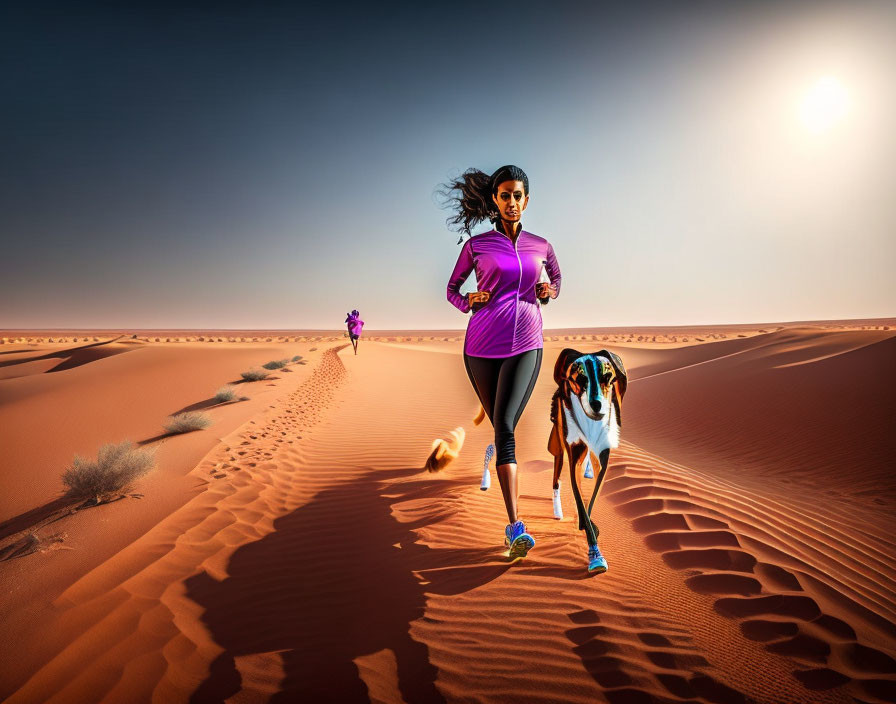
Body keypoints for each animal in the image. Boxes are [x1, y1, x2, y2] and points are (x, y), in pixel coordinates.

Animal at [544, 346, 624, 572]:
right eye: (579, 379)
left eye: (608, 377)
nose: (596, 405)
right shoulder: (574, 457)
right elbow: (579, 499)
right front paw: (595, 556)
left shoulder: (603, 458)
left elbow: (591, 500)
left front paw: (588, 524)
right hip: (558, 449)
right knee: (556, 479)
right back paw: (557, 511)